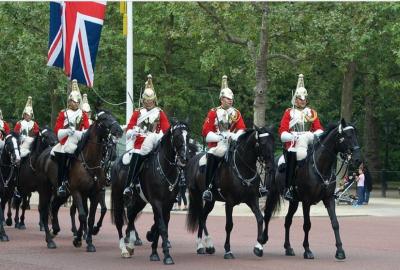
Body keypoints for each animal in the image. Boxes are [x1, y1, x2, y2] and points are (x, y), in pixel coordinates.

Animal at [36, 109, 122, 251]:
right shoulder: (77, 192)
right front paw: (78, 239)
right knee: (44, 211)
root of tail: (43, 154)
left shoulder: (95, 193)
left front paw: (89, 241)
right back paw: (50, 240)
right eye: (103, 119)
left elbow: (91, 217)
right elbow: (82, 215)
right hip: (45, 190)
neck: (90, 161)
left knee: (54, 207)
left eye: (113, 116)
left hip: (62, 193)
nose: (119, 130)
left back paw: (56, 230)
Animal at [111, 122, 189, 264]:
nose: (184, 158)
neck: (164, 168)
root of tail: (116, 163)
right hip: (119, 197)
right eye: (177, 136)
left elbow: (161, 224)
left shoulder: (168, 204)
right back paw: (124, 249)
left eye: (188, 136)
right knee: (120, 221)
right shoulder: (156, 202)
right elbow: (162, 226)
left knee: (131, 216)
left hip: (139, 201)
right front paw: (166, 256)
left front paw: (154, 249)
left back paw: (131, 245)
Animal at [185, 126, 274, 260]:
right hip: (196, 196)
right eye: (262, 143)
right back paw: (201, 245)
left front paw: (259, 247)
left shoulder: (252, 199)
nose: (271, 167)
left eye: (273, 142)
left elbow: (260, 219)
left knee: (203, 216)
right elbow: (229, 225)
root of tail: (193, 159)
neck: (243, 168)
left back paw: (209, 246)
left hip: (211, 201)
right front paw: (228, 250)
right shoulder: (229, 202)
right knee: (201, 216)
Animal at [262, 119, 362, 260]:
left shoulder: (329, 199)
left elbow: (335, 223)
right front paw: (307, 250)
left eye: (355, 136)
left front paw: (340, 251)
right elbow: (307, 225)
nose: (358, 159)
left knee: (287, 221)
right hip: (272, 193)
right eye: (347, 136)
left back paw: (288, 248)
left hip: (293, 201)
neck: (320, 166)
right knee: (267, 215)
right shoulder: (306, 201)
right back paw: (262, 240)